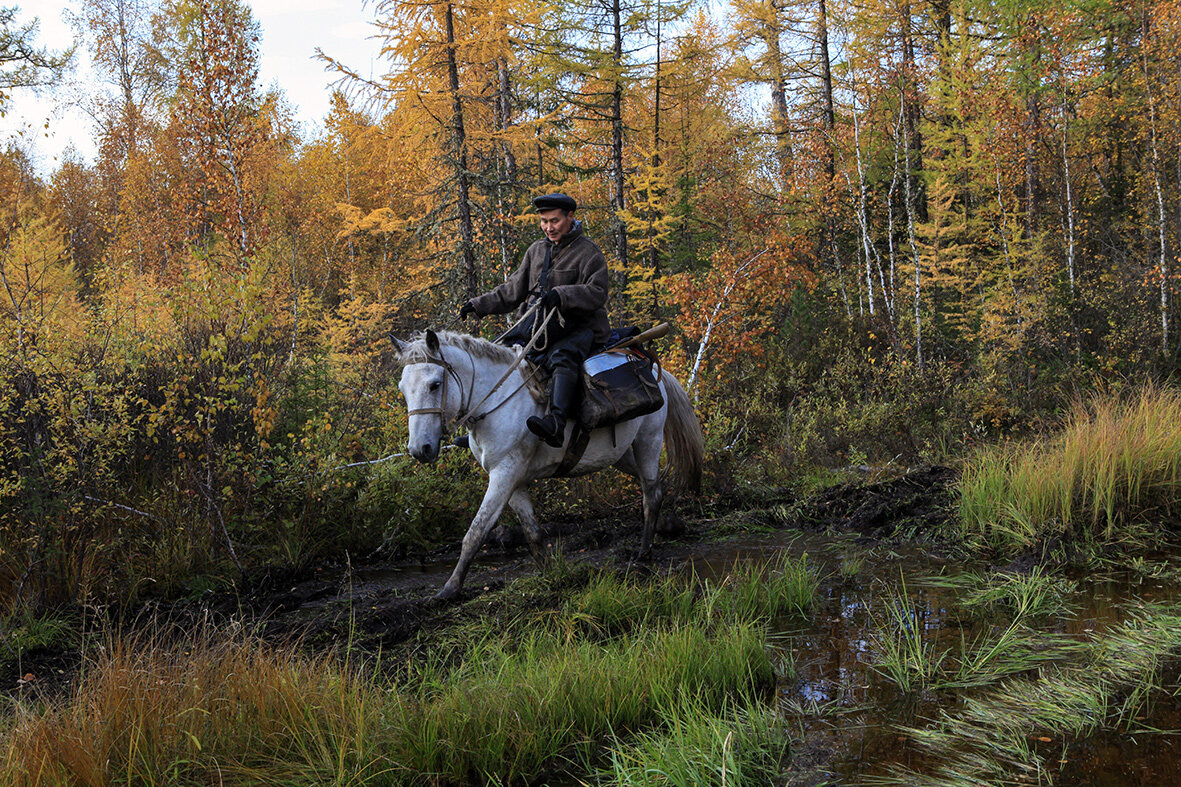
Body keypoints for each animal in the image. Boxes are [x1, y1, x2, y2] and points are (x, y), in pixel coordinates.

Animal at [396, 328, 699, 597]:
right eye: (403, 388)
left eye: (435, 384)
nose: (419, 449)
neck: (497, 401)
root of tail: (658, 376)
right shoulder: (512, 481)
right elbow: (532, 531)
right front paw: (549, 575)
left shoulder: (503, 475)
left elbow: (477, 531)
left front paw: (449, 589)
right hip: (622, 455)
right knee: (654, 487)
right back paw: (666, 527)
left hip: (648, 442)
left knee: (651, 494)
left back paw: (644, 552)